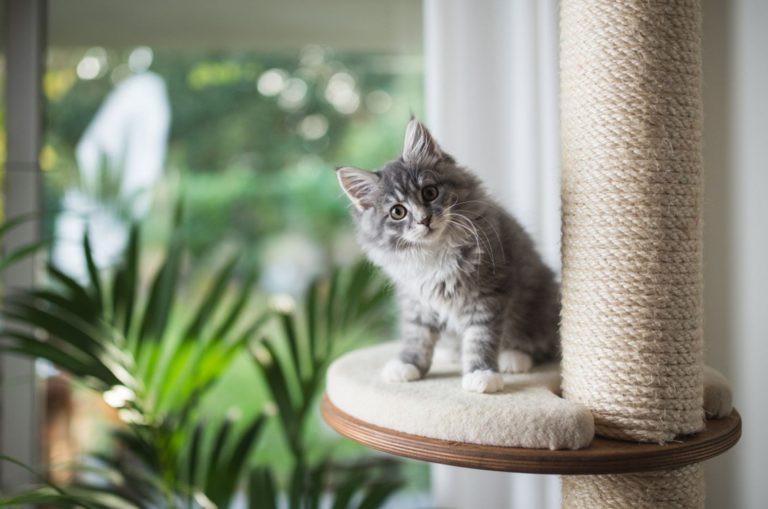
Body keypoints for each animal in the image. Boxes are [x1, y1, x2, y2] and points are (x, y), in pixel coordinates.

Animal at [336, 119, 560, 392]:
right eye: (398, 212)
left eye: (430, 192)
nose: (424, 219)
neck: (433, 252)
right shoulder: (416, 299)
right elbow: (417, 335)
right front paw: (408, 364)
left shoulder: (488, 294)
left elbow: (480, 337)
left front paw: (482, 373)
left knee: (543, 343)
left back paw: (513, 357)